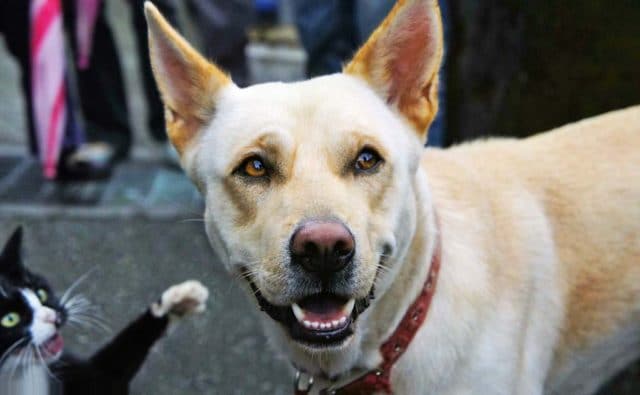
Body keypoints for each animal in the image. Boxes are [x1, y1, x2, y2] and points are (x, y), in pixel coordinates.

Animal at [0, 227, 209, 394]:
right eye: (10, 319)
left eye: (41, 293)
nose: (55, 317)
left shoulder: (86, 374)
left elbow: (119, 358)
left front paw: (177, 302)